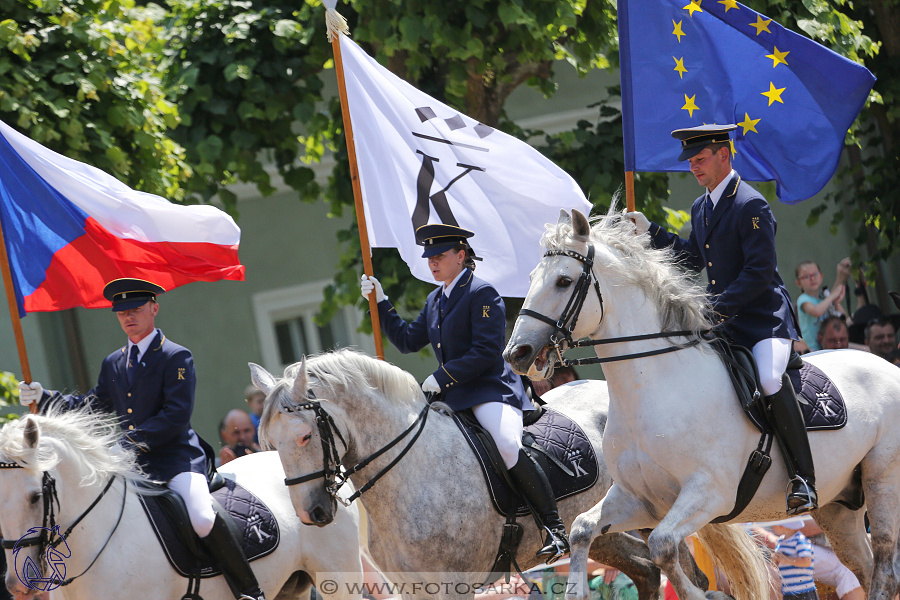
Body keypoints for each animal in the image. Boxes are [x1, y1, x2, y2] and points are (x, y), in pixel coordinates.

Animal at [248, 350, 740, 600]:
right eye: (268, 444)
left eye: (304, 437)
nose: (311, 514)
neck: (410, 474)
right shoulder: (414, 590)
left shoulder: (454, 588)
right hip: (604, 529)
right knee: (645, 571)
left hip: (654, 510)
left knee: (687, 576)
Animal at [506, 209, 900, 600]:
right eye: (531, 278)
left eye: (563, 281)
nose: (516, 354)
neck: (653, 388)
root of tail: (887, 364)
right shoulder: (639, 499)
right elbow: (582, 529)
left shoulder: (710, 493)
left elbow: (663, 546)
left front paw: (708, 595)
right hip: (838, 507)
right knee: (865, 567)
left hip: (882, 483)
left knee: (884, 566)